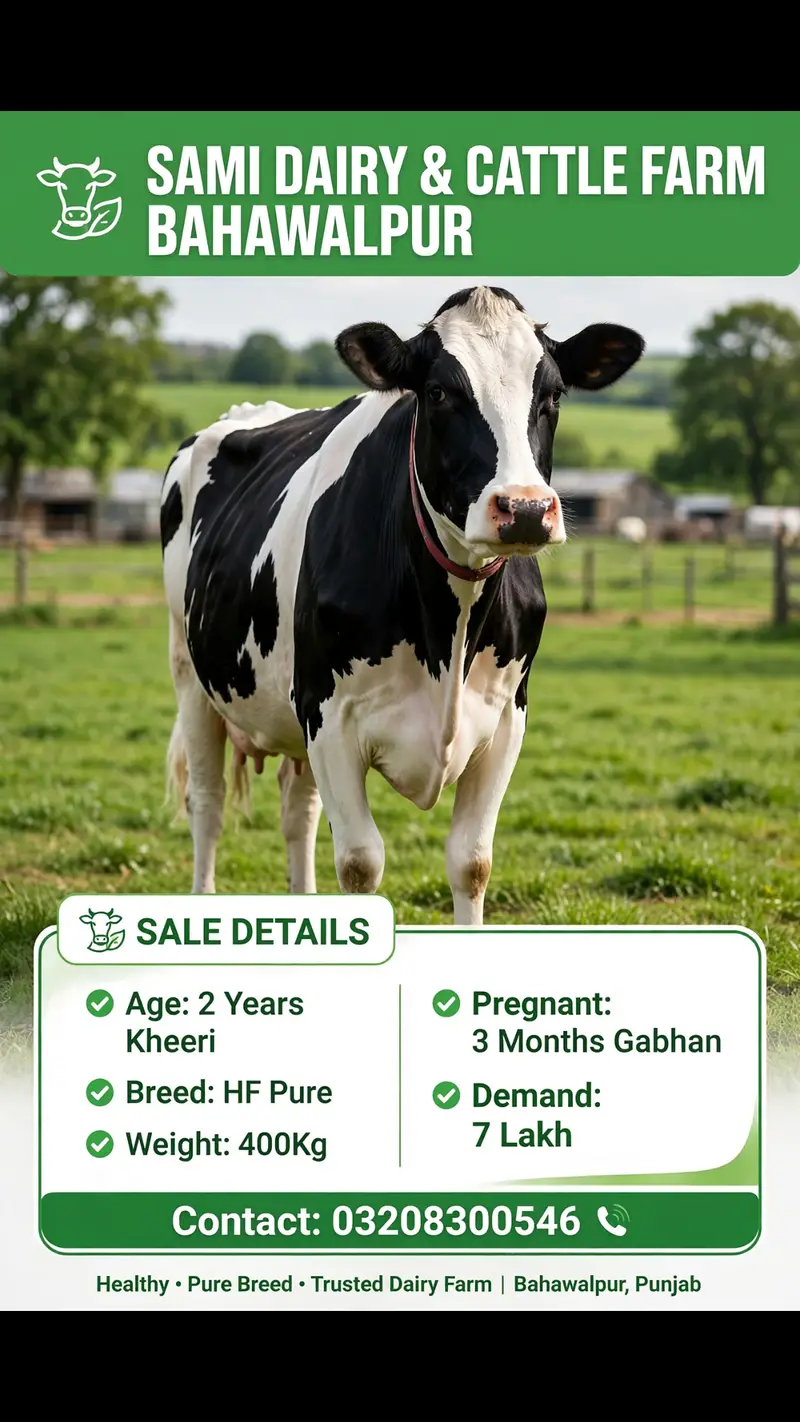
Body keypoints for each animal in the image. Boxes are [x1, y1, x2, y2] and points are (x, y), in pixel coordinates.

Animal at [161, 286, 644, 923]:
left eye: (554, 393)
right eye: (438, 392)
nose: (525, 509)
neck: (450, 628)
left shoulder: (507, 719)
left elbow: (472, 862)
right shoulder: (329, 717)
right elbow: (360, 863)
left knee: (298, 811)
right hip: (193, 677)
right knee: (208, 803)